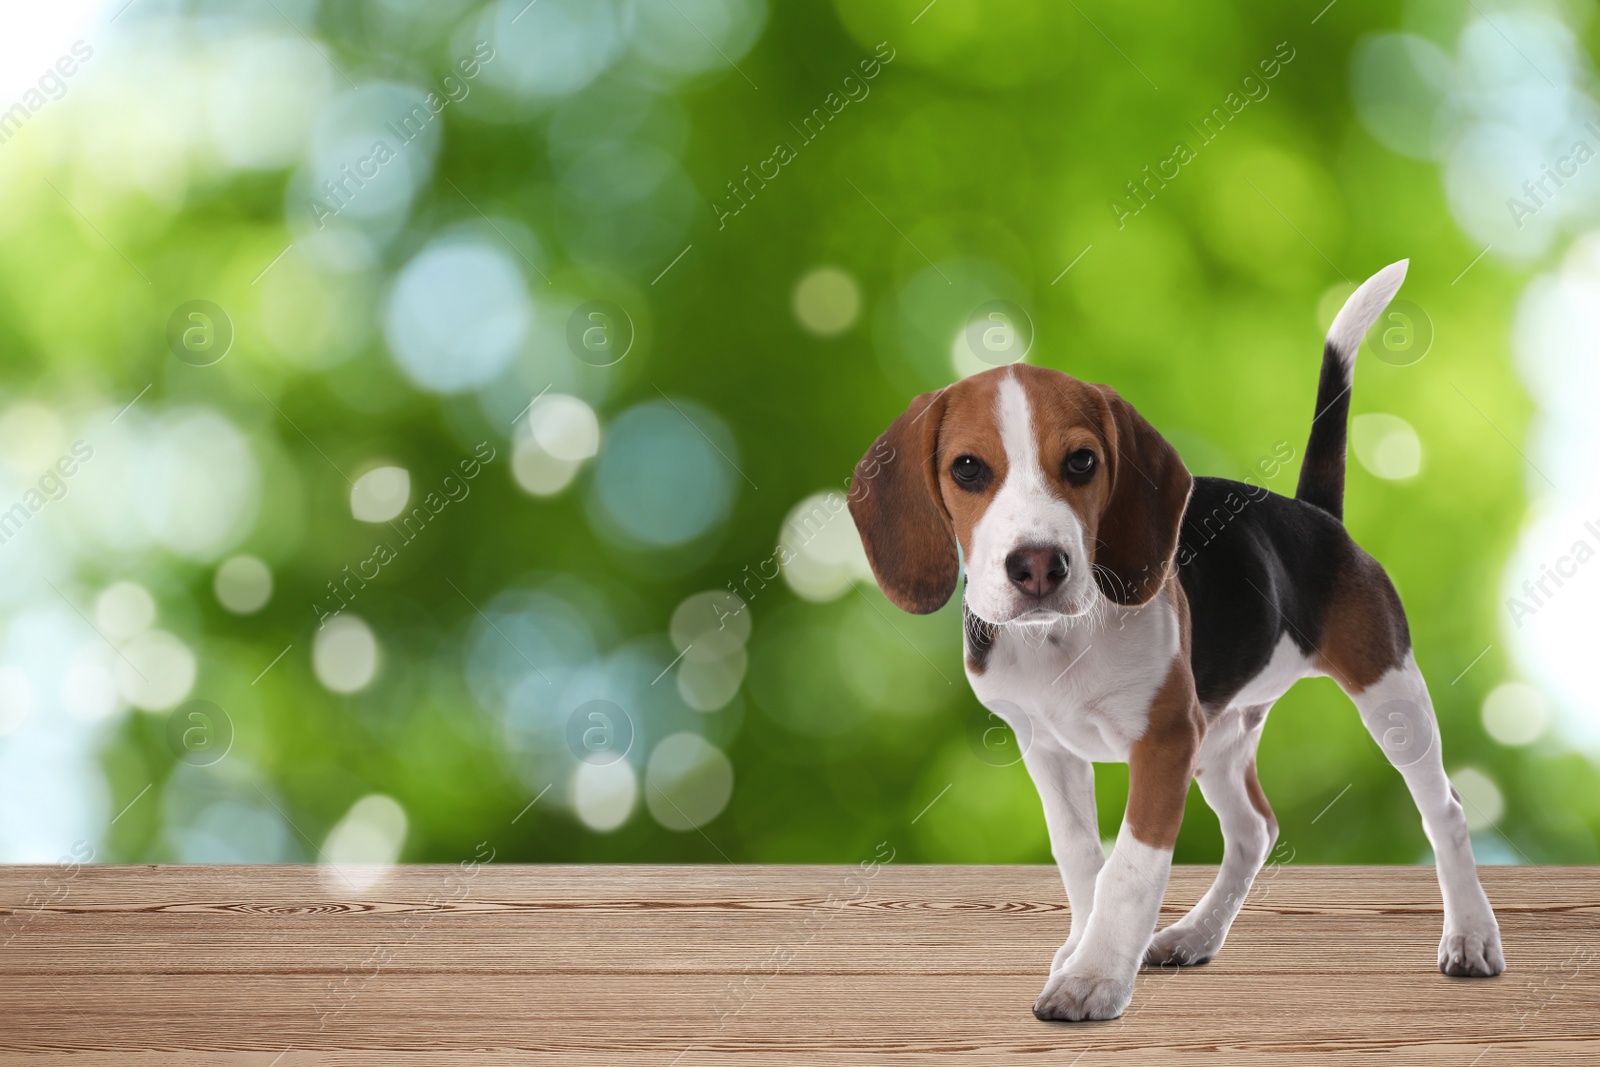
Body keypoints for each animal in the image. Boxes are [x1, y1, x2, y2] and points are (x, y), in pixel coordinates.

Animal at [857, 262, 1504, 1023]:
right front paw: (1083, 949)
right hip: (1220, 734)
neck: (1059, 638)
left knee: (1445, 810)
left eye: (1082, 462)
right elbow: (1081, 858)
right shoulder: (1046, 746)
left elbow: (1131, 867)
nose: (1039, 565)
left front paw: (1095, 976)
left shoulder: (1164, 740)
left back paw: (1471, 935)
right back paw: (1194, 934)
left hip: (1389, 693)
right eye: (966, 469)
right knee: (1255, 828)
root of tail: (1315, 514)